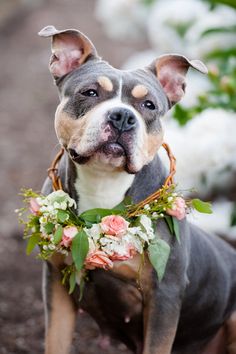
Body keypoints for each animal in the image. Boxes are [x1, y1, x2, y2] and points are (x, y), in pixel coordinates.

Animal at [38, 25, 236, 354]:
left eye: (149, 105)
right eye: (90, 92)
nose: (122, 116)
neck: (104, 182)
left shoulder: (164, 297)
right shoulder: (57, 285)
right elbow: (55, 341)